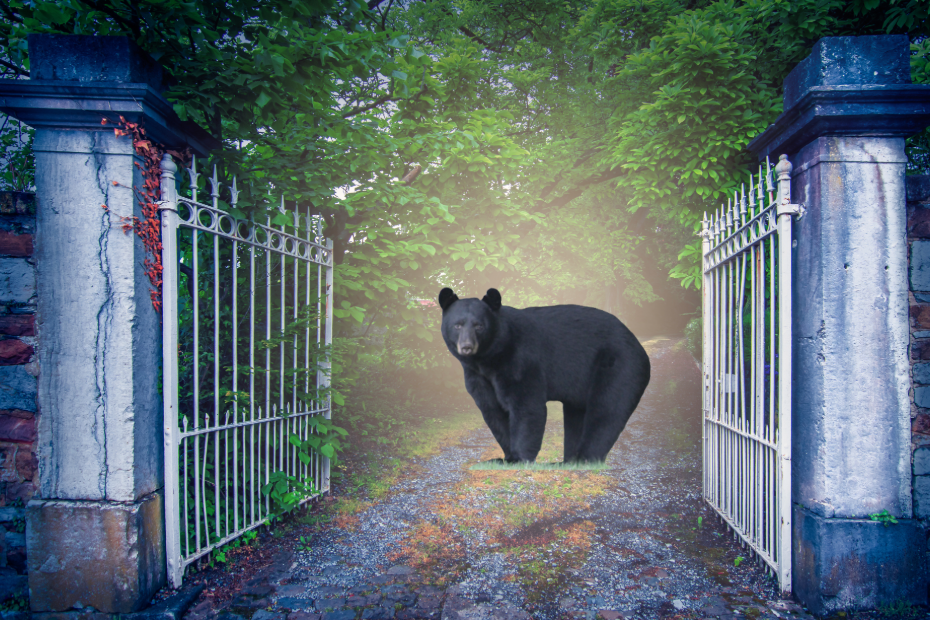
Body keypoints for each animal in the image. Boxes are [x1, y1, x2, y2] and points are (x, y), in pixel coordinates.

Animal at [438, 288, 648, 462]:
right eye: (457, 325)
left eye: (479, 326)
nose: (467, 347)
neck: (489, 359)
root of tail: (637, 343)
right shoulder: (477, 376)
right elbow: (493, 411)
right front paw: (505, 457)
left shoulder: (521, 360)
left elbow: (527, 406)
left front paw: (519, 458)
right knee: (577, 416)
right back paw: (568, 461)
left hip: (618, 364)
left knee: (607, 409)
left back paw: (584, 459)